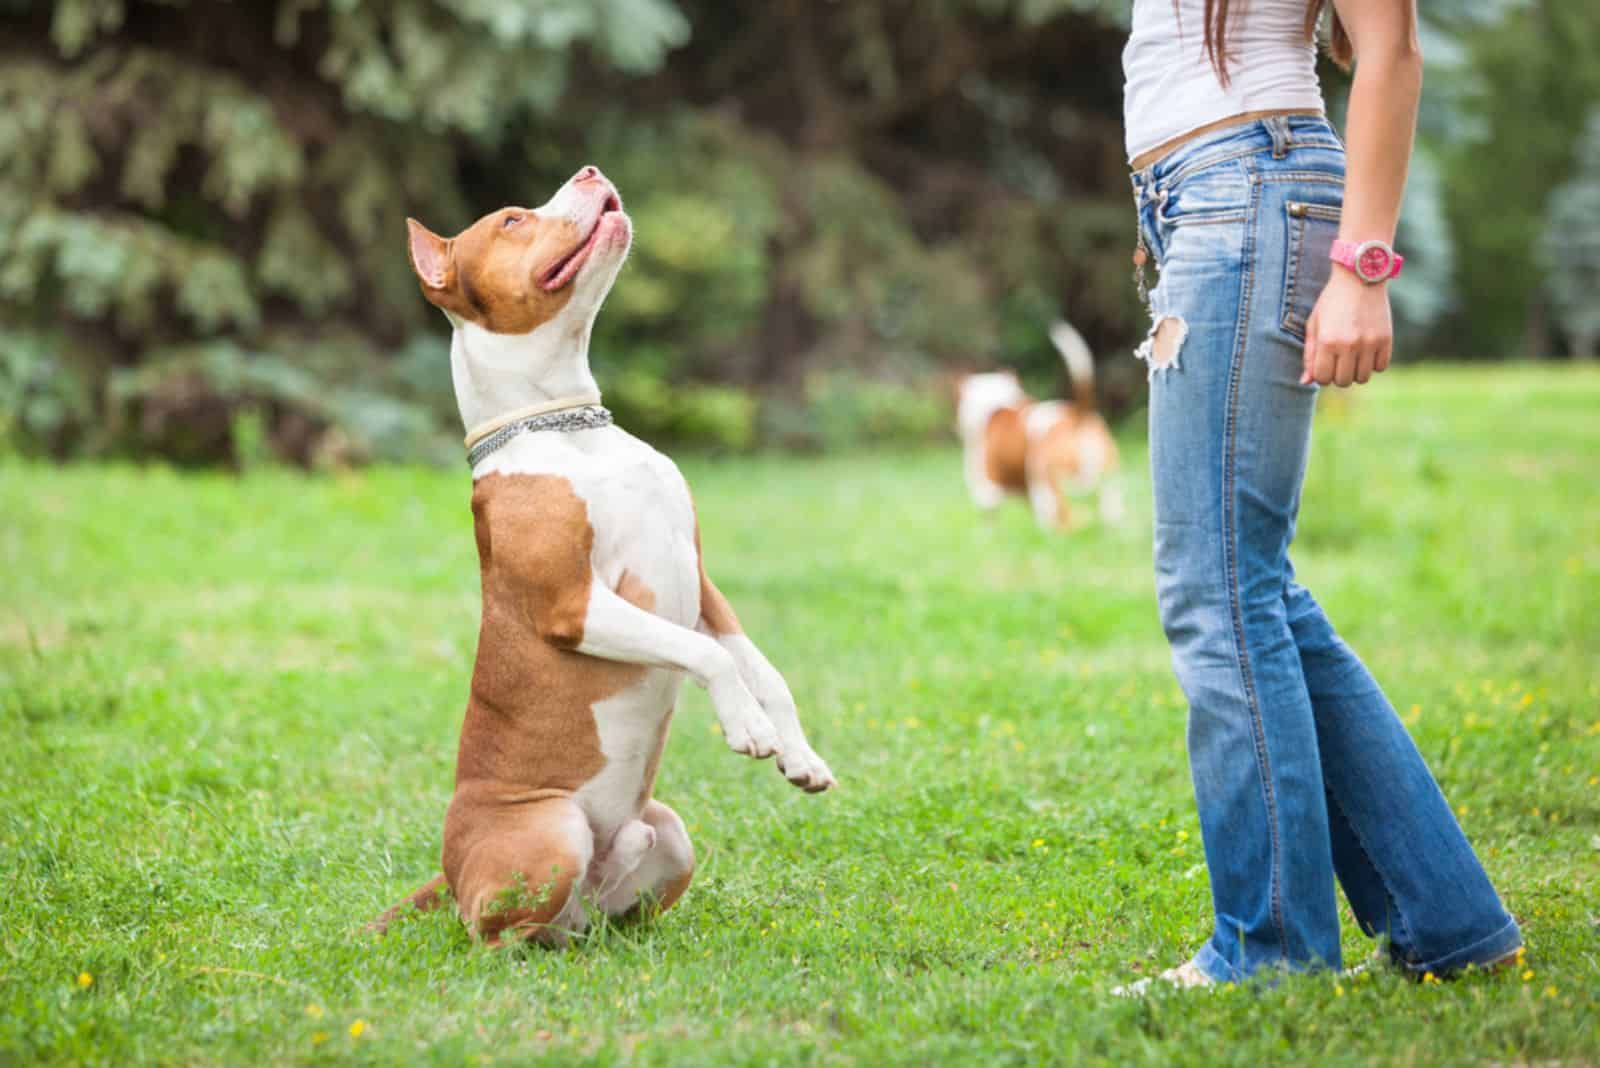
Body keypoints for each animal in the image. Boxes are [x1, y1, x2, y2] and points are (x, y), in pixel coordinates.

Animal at [368, 164, 832, 940]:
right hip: (552, 833)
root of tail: (448, 867)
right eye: (513, 221)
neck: (567, 424)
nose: (587, 172)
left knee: (601, 916)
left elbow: (764, 670)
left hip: (669, 834)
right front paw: (747, 727)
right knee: (493, 930)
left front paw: (799, 753)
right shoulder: (575, 605)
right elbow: (706, 658)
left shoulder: (701, 586)